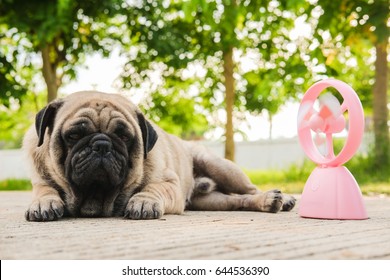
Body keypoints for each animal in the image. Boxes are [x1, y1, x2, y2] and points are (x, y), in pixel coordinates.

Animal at [22, 91, 294, 221]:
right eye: (74, 135)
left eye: (124, 136)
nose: (101, 144)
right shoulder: (41, 181)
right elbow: (45, 190)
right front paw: (44, 203)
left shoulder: (168, 184)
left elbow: (152, 189)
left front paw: (144, 202)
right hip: (212, 201)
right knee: (237, 200)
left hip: (219, 166)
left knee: (249, 190)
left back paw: (276, 198)